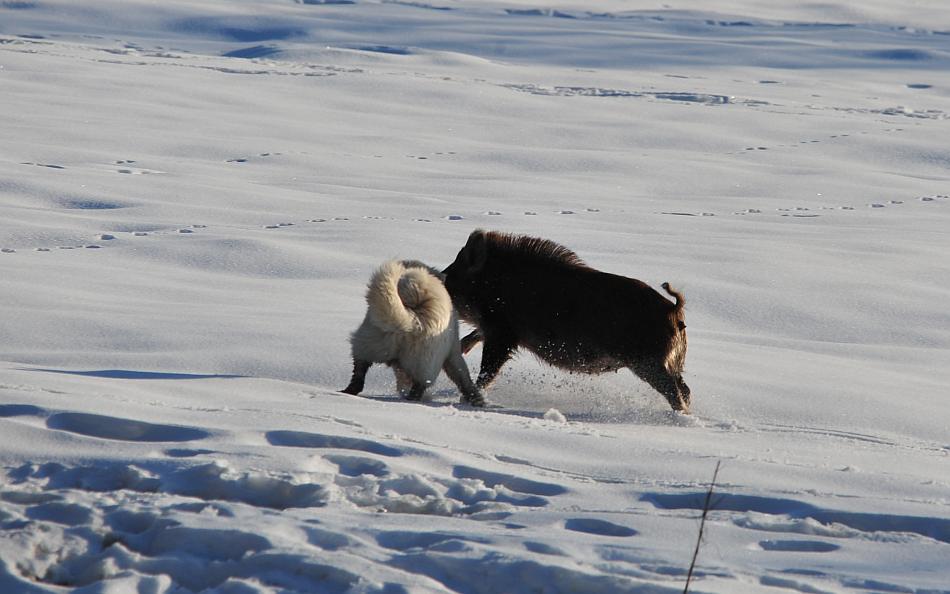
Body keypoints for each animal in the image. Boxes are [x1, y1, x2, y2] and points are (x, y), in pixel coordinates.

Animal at [340, 256, 484, 404]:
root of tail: (411, 318)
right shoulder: (453, 352)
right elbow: (463, 377)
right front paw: (476, 399)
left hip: (367, 345)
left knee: (359, 373)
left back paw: (348, 391)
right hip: (425, 366)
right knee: (418, 388)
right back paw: (413, 400)